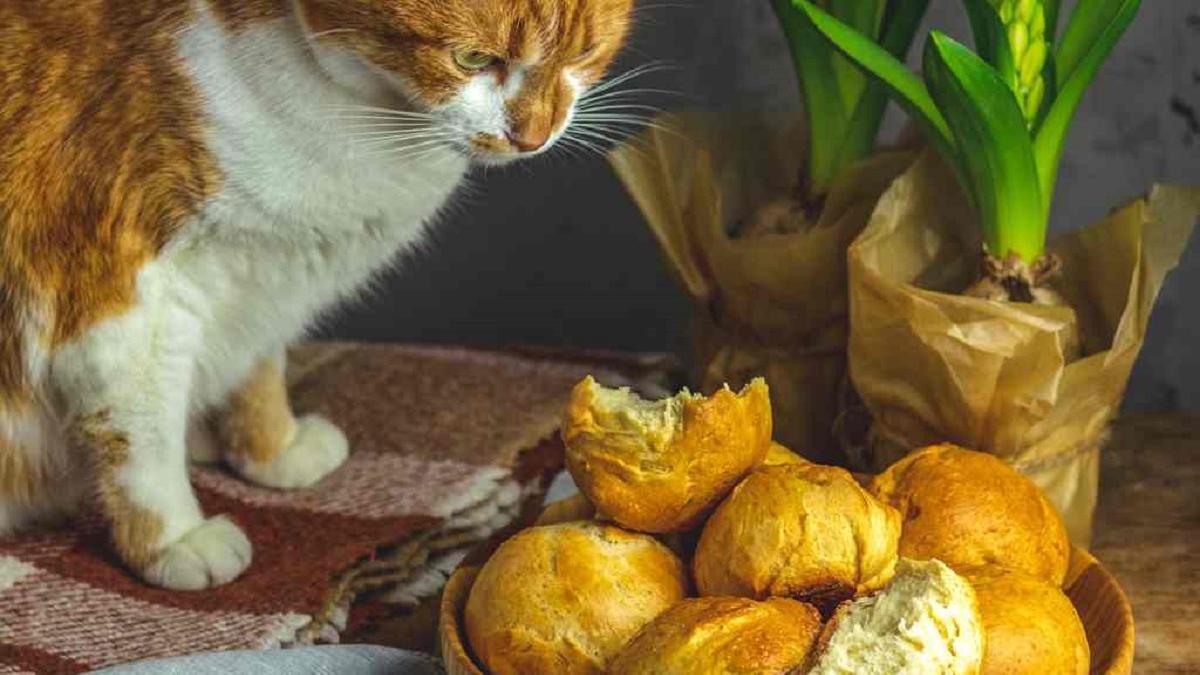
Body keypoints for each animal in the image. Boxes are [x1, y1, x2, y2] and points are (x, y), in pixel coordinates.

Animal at [0, 0, 633, 588]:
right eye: (474, 59)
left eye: (583, 54)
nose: (533, 137)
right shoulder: (128, 302)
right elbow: (142, 439)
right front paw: (172, 537)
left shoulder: (265, 275)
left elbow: (258, 370)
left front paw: (271, 448)